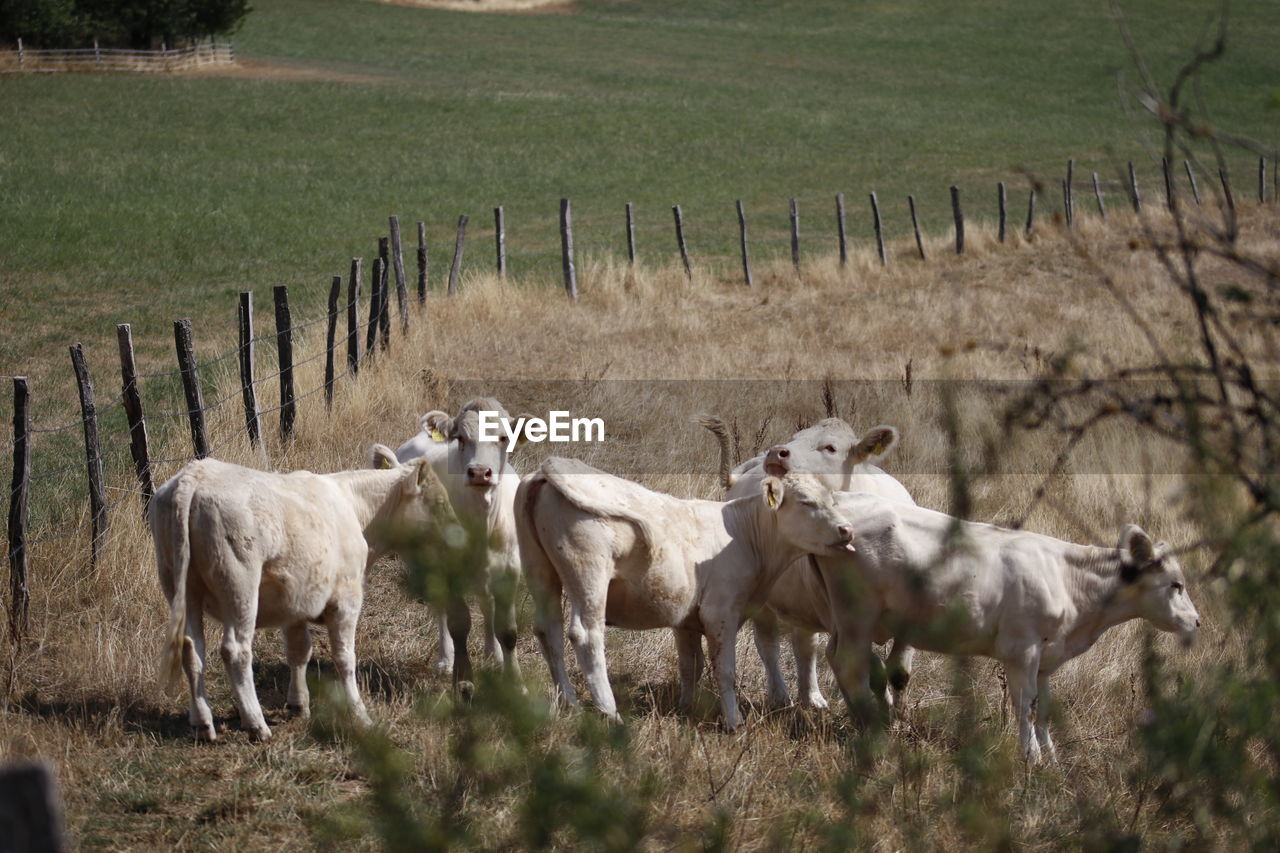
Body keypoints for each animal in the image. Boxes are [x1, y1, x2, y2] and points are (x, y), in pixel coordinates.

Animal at [152, 445, 453, 737]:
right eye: (438, 503)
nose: (457, 537)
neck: (355, 508)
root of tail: (195, 475)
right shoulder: (346, 599)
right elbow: (345, 657)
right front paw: (360, 714)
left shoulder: (296, 601)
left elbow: (299, 650)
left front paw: (298, 704)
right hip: (239, 586)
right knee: (236, 651)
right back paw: (256, 724)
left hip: (181, 588)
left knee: (192, 649)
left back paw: (202, 723)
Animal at [394, 397, 524, 686]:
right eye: (461, 438)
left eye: (503, 438)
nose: (479, 472)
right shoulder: (446, 568)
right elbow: (458, 625)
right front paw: (463, 677)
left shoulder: (509, 570)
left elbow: (508, 630)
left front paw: (514, 682)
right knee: (441, 609)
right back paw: (445, 658)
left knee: (486, 604)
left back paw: (493, 655)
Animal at [514, 455, 855, 727]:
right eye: (806, 502)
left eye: (832, 499)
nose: (847, 529)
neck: (745, 533)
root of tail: (549, 467)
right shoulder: (721, 611)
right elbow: (724, 669)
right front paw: (734, 720)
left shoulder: (686, 617)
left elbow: (691, 665)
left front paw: (686, 707)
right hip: (589, 573)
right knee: (586, 635)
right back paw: (610, 712)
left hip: (540, 570)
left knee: (548, 631)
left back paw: (569, 702)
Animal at [701, 414, 921, 706]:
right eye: (795, 438)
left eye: (830, 448)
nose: (776, 452)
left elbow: (899, 671)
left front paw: (897, 711)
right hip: (766, 600)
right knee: (769, 644)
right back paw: (781, 696)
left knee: (805, 645)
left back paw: (812, 697)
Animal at [814, 491, 1192, 763]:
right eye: (1176, 584)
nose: (1196, 620)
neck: (1067, 579)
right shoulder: (1021, 650)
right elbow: (1025, 707)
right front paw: (1031, 758)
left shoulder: (1046, 657)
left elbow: (1043, 709)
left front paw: (1051, 759)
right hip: (858, 615)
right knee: (849, 664)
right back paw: (873, 729)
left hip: (845, 618)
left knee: (835, 656)